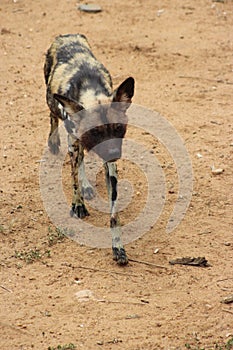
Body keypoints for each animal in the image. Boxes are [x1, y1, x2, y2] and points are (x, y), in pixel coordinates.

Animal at [44, 34, 135, 266]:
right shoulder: (75, 141)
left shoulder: (109, 164)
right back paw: (53, 141)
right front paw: (78, 205)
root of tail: (67, 36)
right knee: (53, 119)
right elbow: (74, 178)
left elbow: (113, 214)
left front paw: (118, 247)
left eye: (118, 128)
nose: (113, 154)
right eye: (95, 132)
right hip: (56, 112)